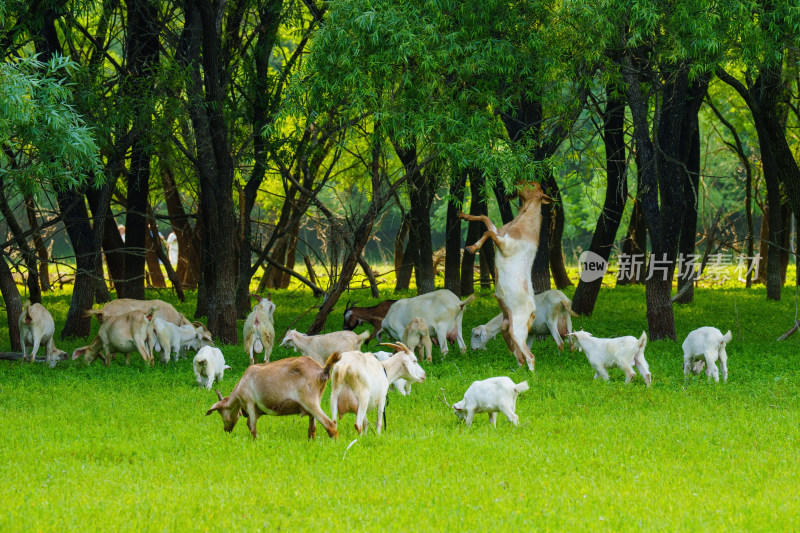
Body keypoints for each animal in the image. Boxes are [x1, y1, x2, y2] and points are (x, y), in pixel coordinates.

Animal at [205, 354, 340, 440]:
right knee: (312, 429)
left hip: (310, 402)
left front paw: (254, 442)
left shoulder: (250, 402)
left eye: (221, 413)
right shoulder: (259, 410)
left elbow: (252, 427)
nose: (226, 430)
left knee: (330, 424)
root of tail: (321, 371)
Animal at [456, 181, 552, 368]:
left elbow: (488, 232)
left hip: (518, 329)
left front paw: (471, 248)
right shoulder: (500, 235)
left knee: (530, 356)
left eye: (533, 185)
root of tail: (532, 311)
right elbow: (485, 220)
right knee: (519, 356)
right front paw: (462, 215)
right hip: (506, 328)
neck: (523, 224)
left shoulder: (506, 245)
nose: (516, 183)